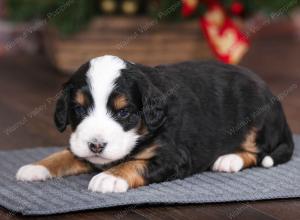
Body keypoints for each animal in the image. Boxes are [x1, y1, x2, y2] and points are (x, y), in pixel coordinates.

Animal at [15, 55, 292, 193]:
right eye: (79, 109)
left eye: (124, 112)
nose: (96, 145)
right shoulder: (80, 145)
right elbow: (65, 153)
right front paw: (37, 167)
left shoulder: (174, 157)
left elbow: (135, 164)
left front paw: (110, 178)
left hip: (258, 123)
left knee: (259, 152)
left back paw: (229, 159)